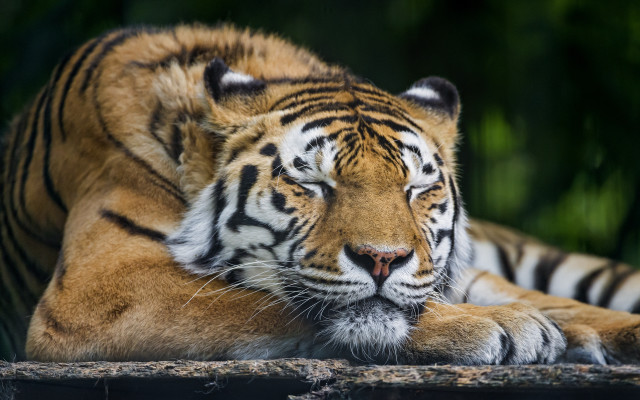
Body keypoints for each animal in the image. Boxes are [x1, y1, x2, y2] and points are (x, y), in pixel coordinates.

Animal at [1, 24, 640, 364]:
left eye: (416, 188)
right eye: (312, 183)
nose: (384, 259)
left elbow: (558, 304)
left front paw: (566, 329)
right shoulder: (100, 288)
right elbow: (259, 302)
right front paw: (504, 328)